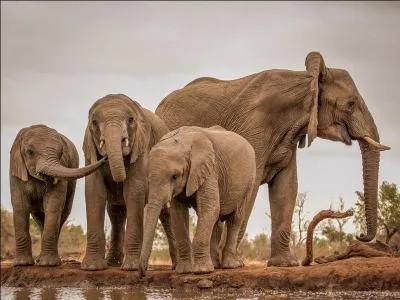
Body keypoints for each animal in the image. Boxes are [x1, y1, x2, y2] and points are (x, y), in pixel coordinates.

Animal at [9, 123, 106, 264]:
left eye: (61, 153)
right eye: (30, 152)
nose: (105, 157)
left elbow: (53, 205)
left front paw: (48, 264)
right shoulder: (15, 170)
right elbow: (20, 206)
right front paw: (22, 264)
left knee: (62, 213)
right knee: (39, 218)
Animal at [80, 93, 176, 270]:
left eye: (131, 120)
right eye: (94, 123)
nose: (105, 158)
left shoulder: (141, 146)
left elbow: (134, 189)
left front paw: (131, 267)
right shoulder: (90, 152)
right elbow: (94, 190)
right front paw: (91, 267)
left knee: (167, 214)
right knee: (116, 213)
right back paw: (112, 263)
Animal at [139, 124, 256, 274]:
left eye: (174, 176)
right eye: (147, 178)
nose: (143, 273)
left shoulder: (209, 169)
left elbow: (210, 207)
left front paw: (202, 271)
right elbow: (178, 214)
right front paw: (184, 271)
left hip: (249, 181)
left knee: (235, 218)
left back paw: (230, 266)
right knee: (215, 220)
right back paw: (215, 265)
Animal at [156, 51, 390, 268]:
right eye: (351, 104)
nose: (360, 235)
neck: (305, 79)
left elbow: (287, 187)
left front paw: (285, 264)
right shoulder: (253, 128)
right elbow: (251, 187)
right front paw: (234, 264)